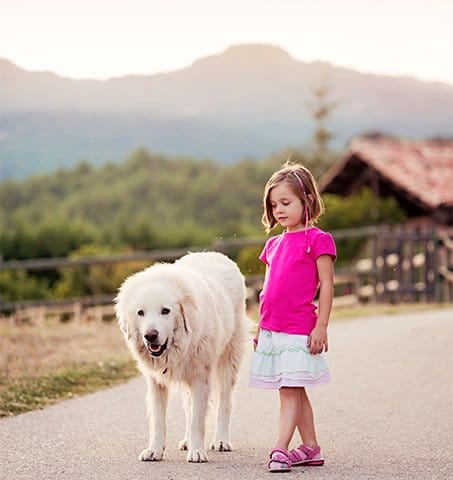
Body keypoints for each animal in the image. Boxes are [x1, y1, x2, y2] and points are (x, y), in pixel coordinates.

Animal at [113, 251, 247, 462]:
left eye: (165, 311)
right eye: (141, 312)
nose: (150, 335)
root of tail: (214, 253)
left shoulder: (200, 378)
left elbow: (197, 420)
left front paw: (197, 451)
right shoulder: (156, 382)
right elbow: (159, 421)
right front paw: (155, 450)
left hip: (228, 360)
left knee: (224, 402)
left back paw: (221, 440)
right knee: (188, 408)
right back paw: (187, 441)